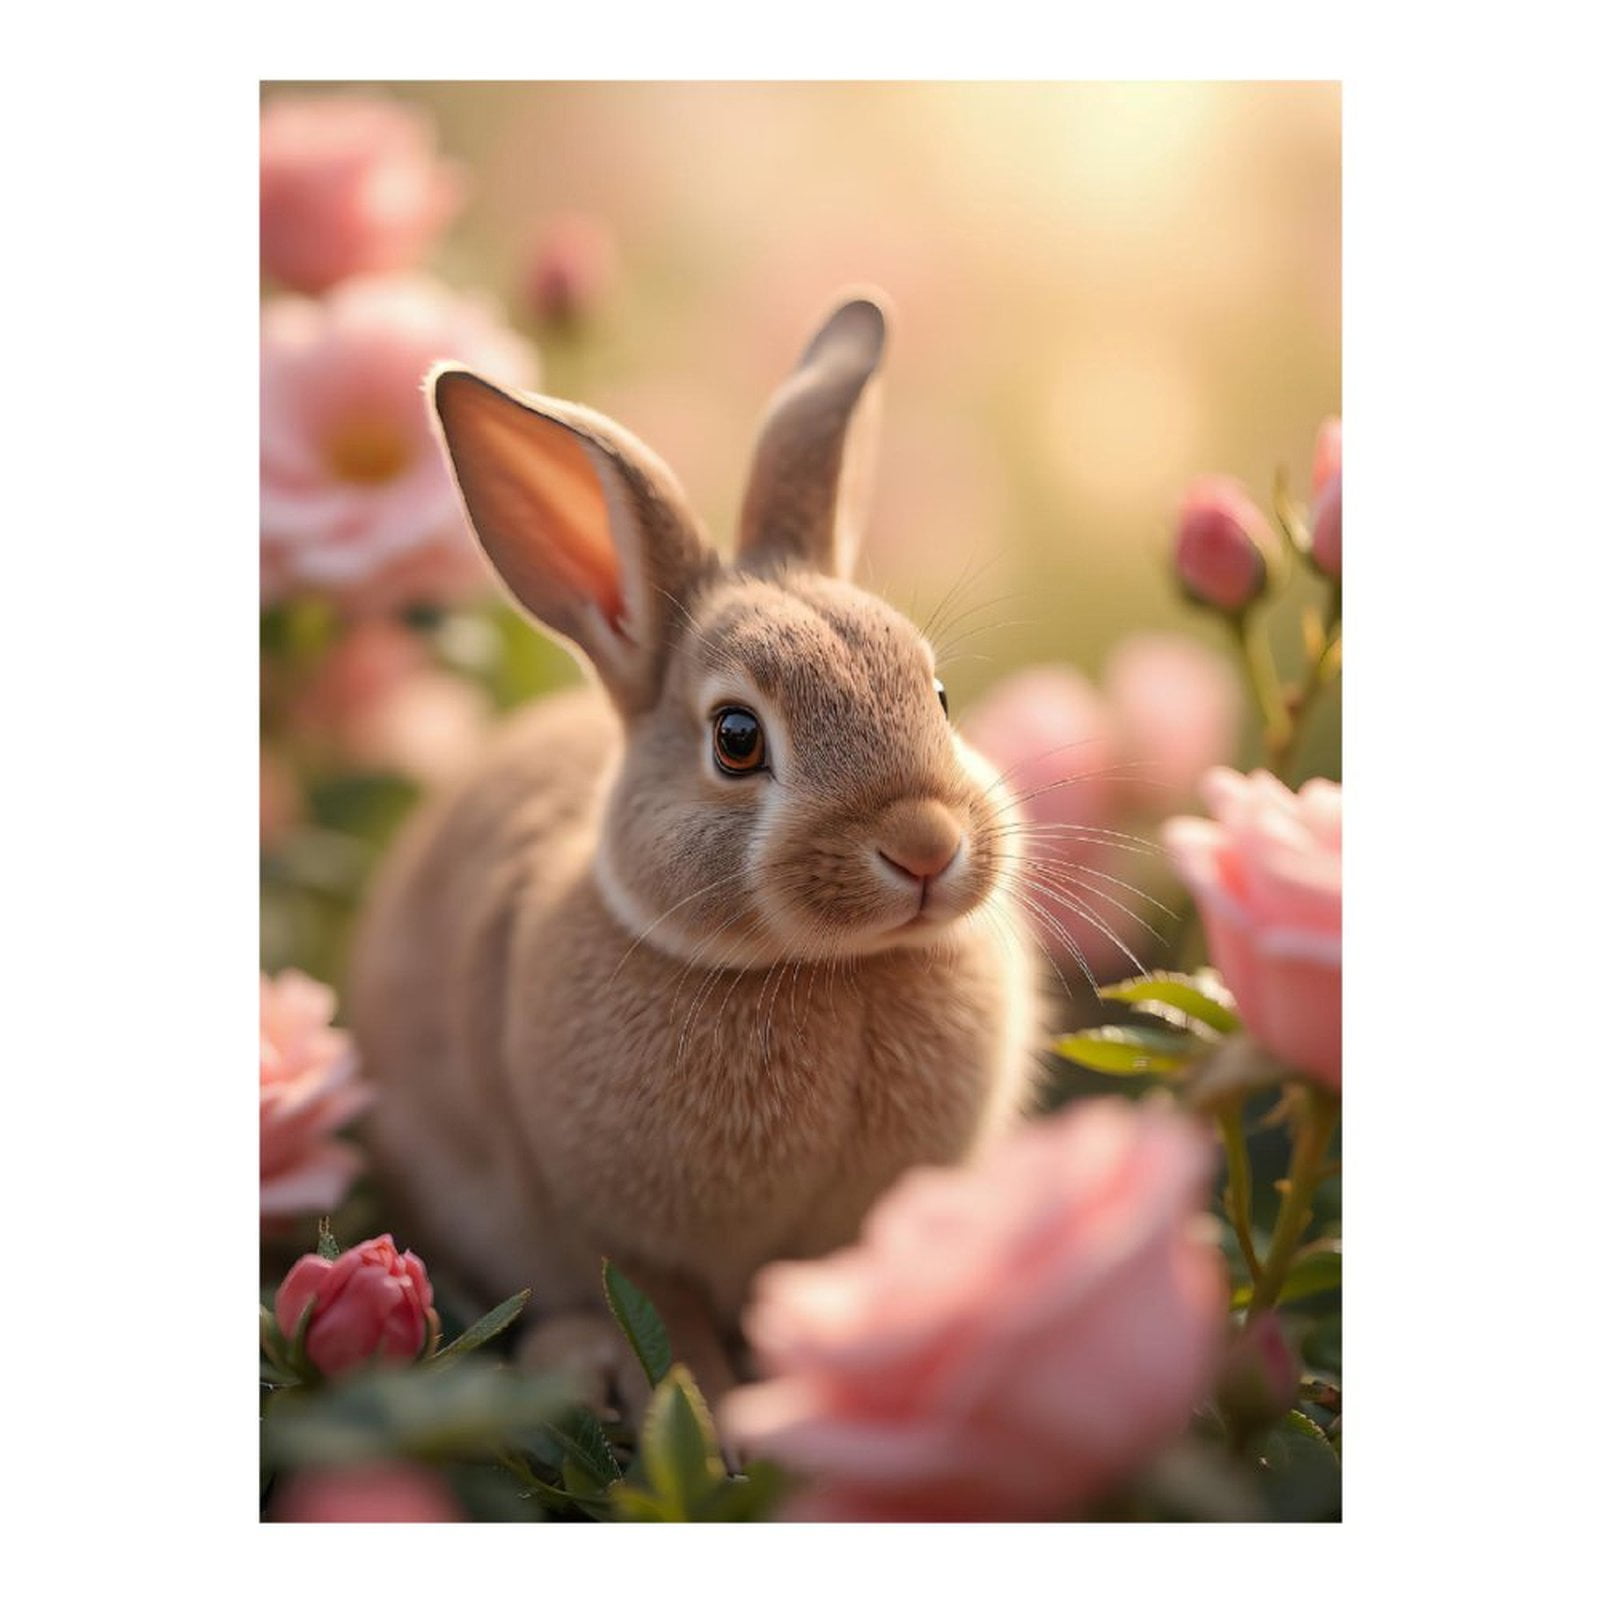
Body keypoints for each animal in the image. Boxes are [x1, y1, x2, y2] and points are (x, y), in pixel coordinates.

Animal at [348, 290, 1045, 1411]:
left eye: (937, 695)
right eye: (737, 738)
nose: (925, 845)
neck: (832, 970)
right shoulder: (624, 1246)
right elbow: (673, 1336)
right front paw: (717, 1422)